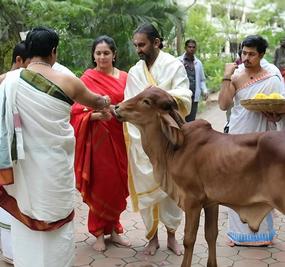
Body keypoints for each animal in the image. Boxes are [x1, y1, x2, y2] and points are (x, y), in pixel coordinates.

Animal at [113, 87, 285, 267]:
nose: (117, 107)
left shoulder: (192, 201)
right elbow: (211, 234)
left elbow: (189, 239)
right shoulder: (212, 202)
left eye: (146, 101)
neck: (172, 149)